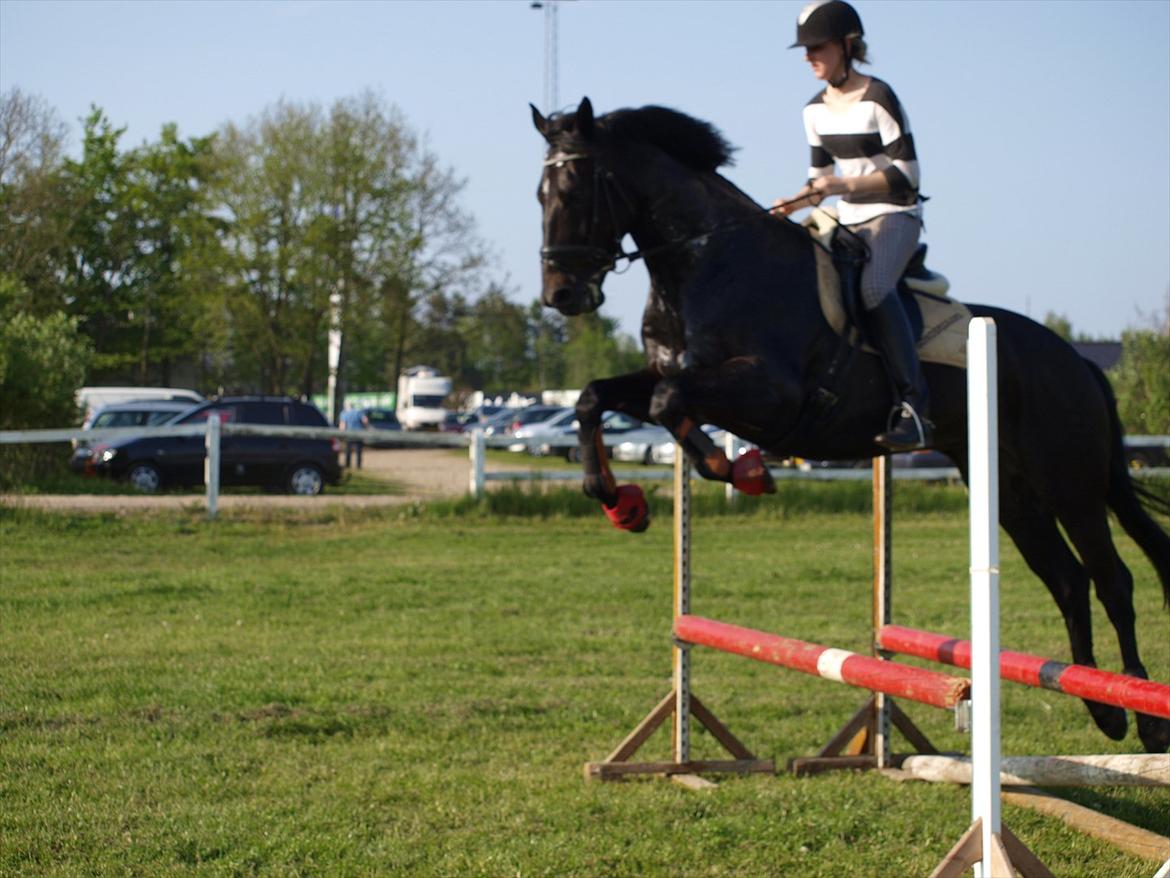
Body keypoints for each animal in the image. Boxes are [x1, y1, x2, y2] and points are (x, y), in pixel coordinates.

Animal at [533, 97, 1170, 758]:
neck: (706, 263)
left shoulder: (771, 392)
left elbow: (667, 402)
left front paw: (737, 468)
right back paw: (1102, 709)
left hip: (1069, 483)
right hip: (1009, 491)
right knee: (1068, 580)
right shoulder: (682, 377)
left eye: (575, 189)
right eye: (539, 195)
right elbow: (598, 397)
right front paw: (622, 502)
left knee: (1113, 579)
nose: (561, 295)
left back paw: (1143, 714)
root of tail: (1077, 362)